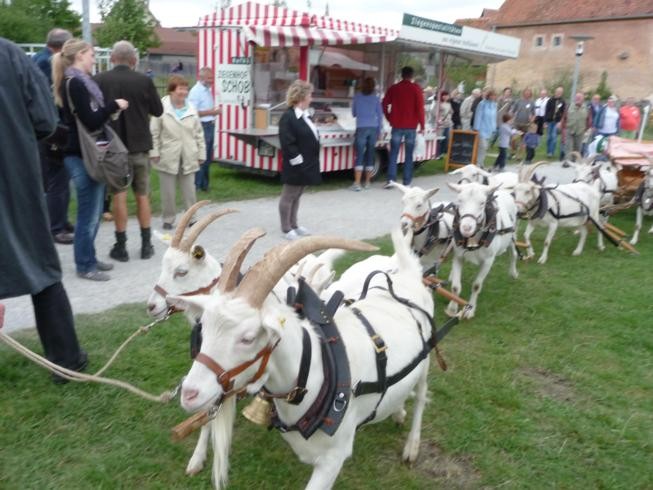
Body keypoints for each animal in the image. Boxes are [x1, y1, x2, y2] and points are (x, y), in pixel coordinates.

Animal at [446, 183, 516, 318]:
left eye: (482, 203)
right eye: (459, 201)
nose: (466, 228)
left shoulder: (488, 261)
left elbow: (476, 286)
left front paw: (470, 310)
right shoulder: (458, 256)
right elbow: (456, 286)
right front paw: (452, 309)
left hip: (512, 234)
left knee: (514, 253)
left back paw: (513, 273)